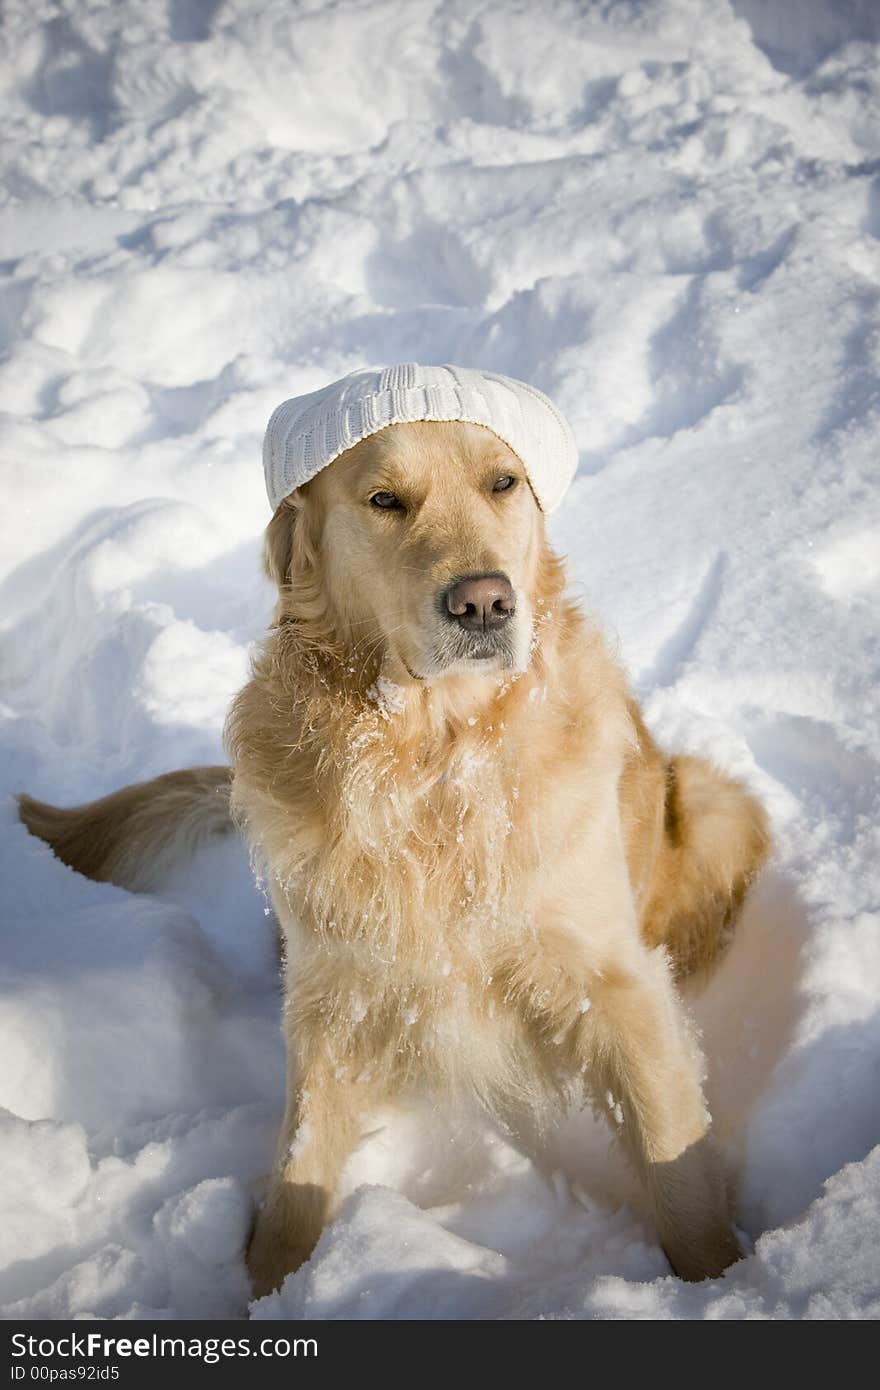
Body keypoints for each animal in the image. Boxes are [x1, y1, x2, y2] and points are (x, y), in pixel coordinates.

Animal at [17, 417, 767, 1295]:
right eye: (384, 500)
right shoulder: (333, 996)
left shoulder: (616, 984)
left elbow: (673, 1159)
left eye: (504, 483)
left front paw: (722, 1283)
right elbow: (297, 1174)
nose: (484, 602)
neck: (432, 759)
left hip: (717, 807)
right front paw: (271, 1290)